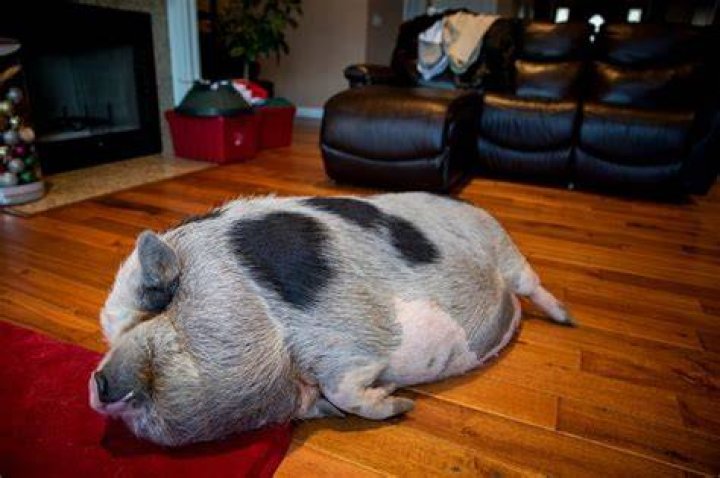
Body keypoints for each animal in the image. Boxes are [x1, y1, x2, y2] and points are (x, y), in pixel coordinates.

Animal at [89, 192, 573, 446]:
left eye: (150, 315)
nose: (96, 384)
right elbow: (338, 399)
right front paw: (395, 399)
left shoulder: (347, 340)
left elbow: (349, 387)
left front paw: (402, 402)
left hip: (502, 246)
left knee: (533, 282)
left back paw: (568, 321)